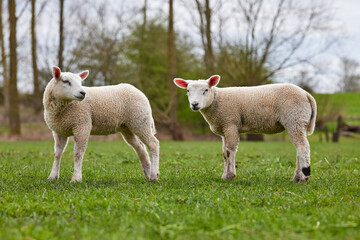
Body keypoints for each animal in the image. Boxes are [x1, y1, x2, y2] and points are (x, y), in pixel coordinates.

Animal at [174, 75, 318, 182]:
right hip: (298, 122)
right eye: (188, 91)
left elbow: (230, 151)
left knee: (303, 147)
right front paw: (224, 175)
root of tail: (307, 94)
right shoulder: (224, 129)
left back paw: (304, 177)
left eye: (206, 90)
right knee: (299, 149)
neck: (216, 100)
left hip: (295, 119)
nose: (194, 104)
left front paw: (230, 176)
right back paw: (296, 178)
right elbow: (224, 153)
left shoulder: (230, 124)